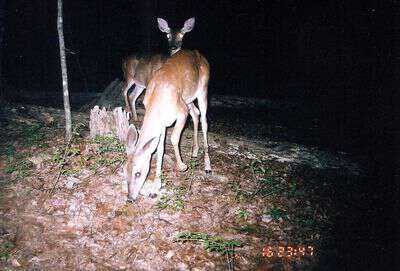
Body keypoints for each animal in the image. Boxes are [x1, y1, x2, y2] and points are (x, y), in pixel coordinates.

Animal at [125, 50, 212, 202]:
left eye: (138, 173)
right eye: (124, 171)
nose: (130, 198)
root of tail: (199, 55)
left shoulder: (181, 111)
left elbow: (174, 138)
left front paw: (182, 166)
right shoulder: (163, 123)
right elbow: (160, 149)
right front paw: (155, 187)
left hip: (203, 90)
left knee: (204, 121)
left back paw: (207, 166)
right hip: (188, 99)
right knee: (196, 114)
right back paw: (195, 151)